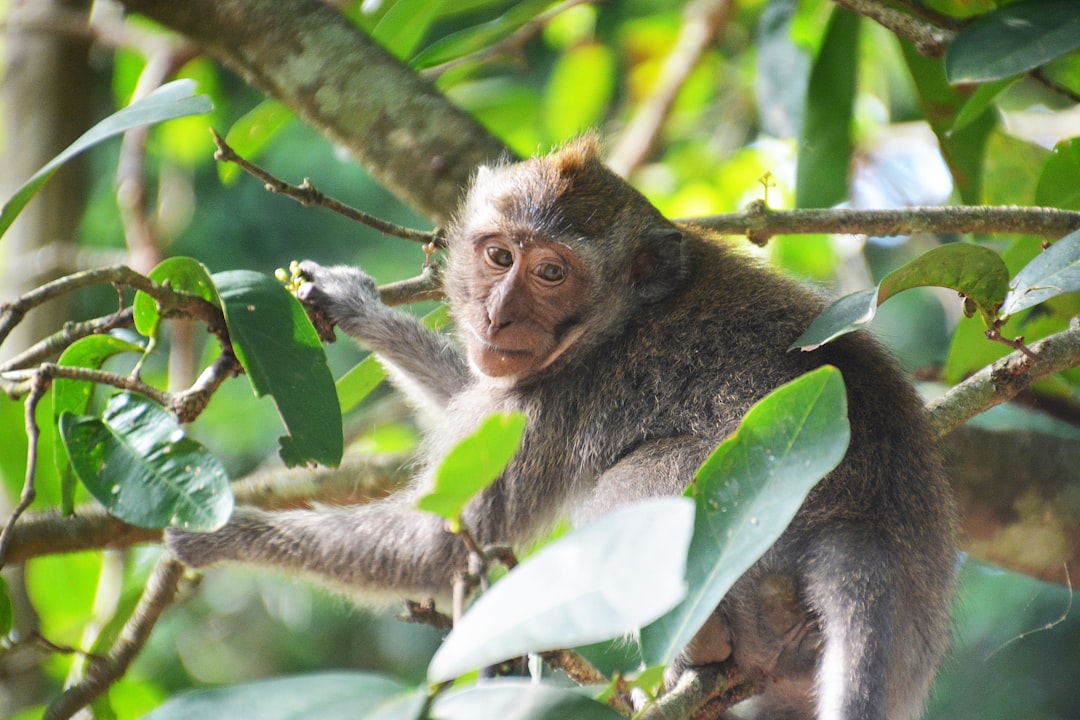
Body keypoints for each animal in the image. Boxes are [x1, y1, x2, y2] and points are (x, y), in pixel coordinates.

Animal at [166, 136, 954, 720]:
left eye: (551, 273)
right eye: (497, 256)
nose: (498, 317)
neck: (622, 316)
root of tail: (867, 527)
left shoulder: (547, 410)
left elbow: (436, 550)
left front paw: (223, 531)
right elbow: (463, 398)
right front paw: (357, 309)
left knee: (637, 483)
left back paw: (701, 649)